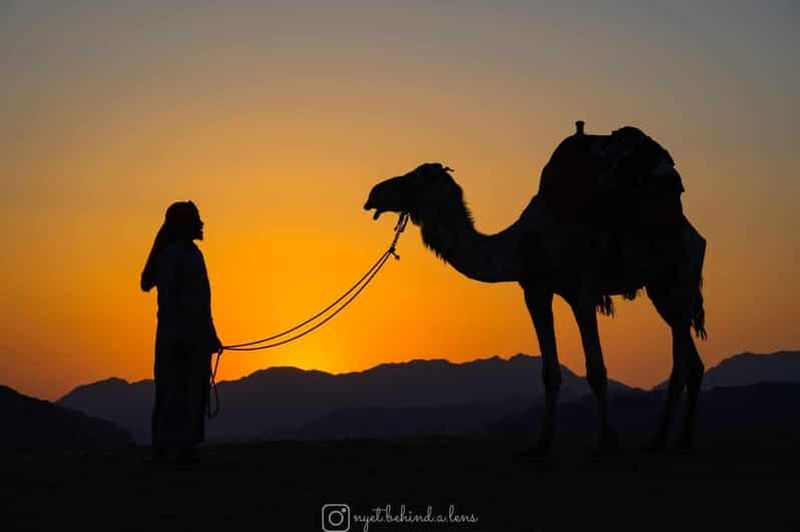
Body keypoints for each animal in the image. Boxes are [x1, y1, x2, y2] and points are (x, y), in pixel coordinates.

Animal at [364, 122, 707, 454]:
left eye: (414, 179)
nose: (373, 194)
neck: (523, 243)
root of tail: (693, 232)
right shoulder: (535, 290)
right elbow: (549, 373)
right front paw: (542, 442)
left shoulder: (582, 291)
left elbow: (596, 370)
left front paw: (608, 441)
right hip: (661, 290)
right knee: (692, 361)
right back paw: (684, 438)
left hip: (680, 274)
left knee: (680, 362)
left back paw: (661, 440)